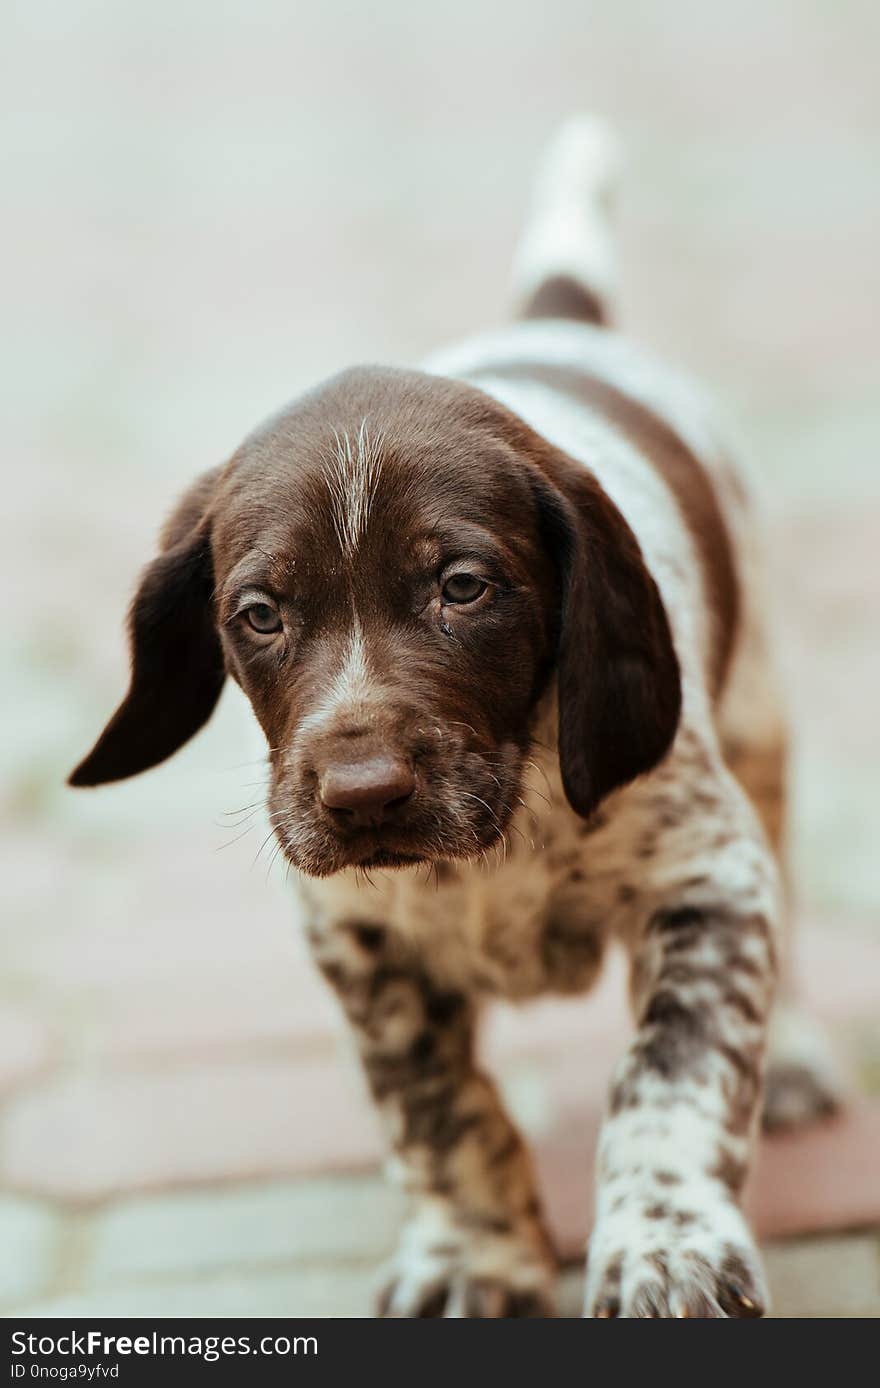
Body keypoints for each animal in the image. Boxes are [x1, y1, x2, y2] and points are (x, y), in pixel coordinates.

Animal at [68, 116, 838, 1310]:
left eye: (463, 588)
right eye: (259, 614)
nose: (361, 795)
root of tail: (552, 324)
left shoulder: (704, 882)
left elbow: (672, 1078)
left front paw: (665, 1248)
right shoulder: (360, 944)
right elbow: (435, 1107)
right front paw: (472, 1256)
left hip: (757, 725)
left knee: (786, 895)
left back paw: (793, 1051)